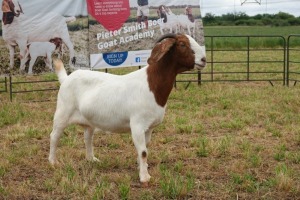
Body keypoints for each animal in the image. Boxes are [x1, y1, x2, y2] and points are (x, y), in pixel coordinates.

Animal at [48, 33, 206, 185]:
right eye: (182, 44)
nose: (204, 59)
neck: (151, 84)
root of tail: (66, 78)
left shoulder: (149, 128)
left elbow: (145, 149)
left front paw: (142, 167)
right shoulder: (137, 125)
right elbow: (143, 151)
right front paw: (144, 178)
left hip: (89, 121)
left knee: (88, 138)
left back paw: (91, 159)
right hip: (62, 113)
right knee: (54, 136)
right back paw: (53, 162)